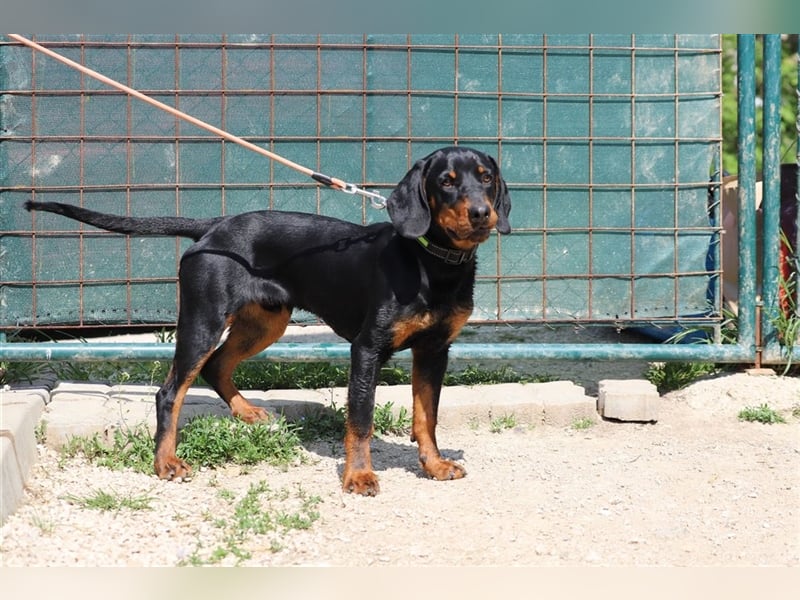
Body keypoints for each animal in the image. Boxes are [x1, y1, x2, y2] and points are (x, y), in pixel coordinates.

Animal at [28, 144, 512, 492]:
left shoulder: (435, 350)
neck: (431, 263)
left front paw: (434, 465)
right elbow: (360, 420)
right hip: (203, 320)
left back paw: (247, 414)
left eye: (486, 178)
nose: (482, 213)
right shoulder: (367, 349)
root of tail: (213, 226)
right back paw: (166, 462)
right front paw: (358, 476)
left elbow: (426, 417)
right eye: (446, 182)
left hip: (265, 323)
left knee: (217, 366)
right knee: (170, 391)